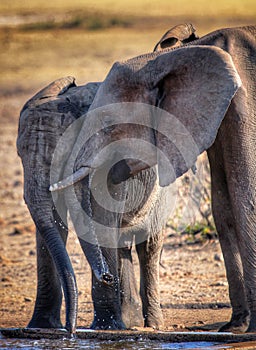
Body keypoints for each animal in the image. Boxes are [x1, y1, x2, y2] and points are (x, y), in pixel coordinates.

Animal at [51, 26, 255, 332]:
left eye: (109, 123)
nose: (107, 277)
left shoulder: (244, 103)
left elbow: (246, 196)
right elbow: (224, 207)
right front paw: (235, 328)